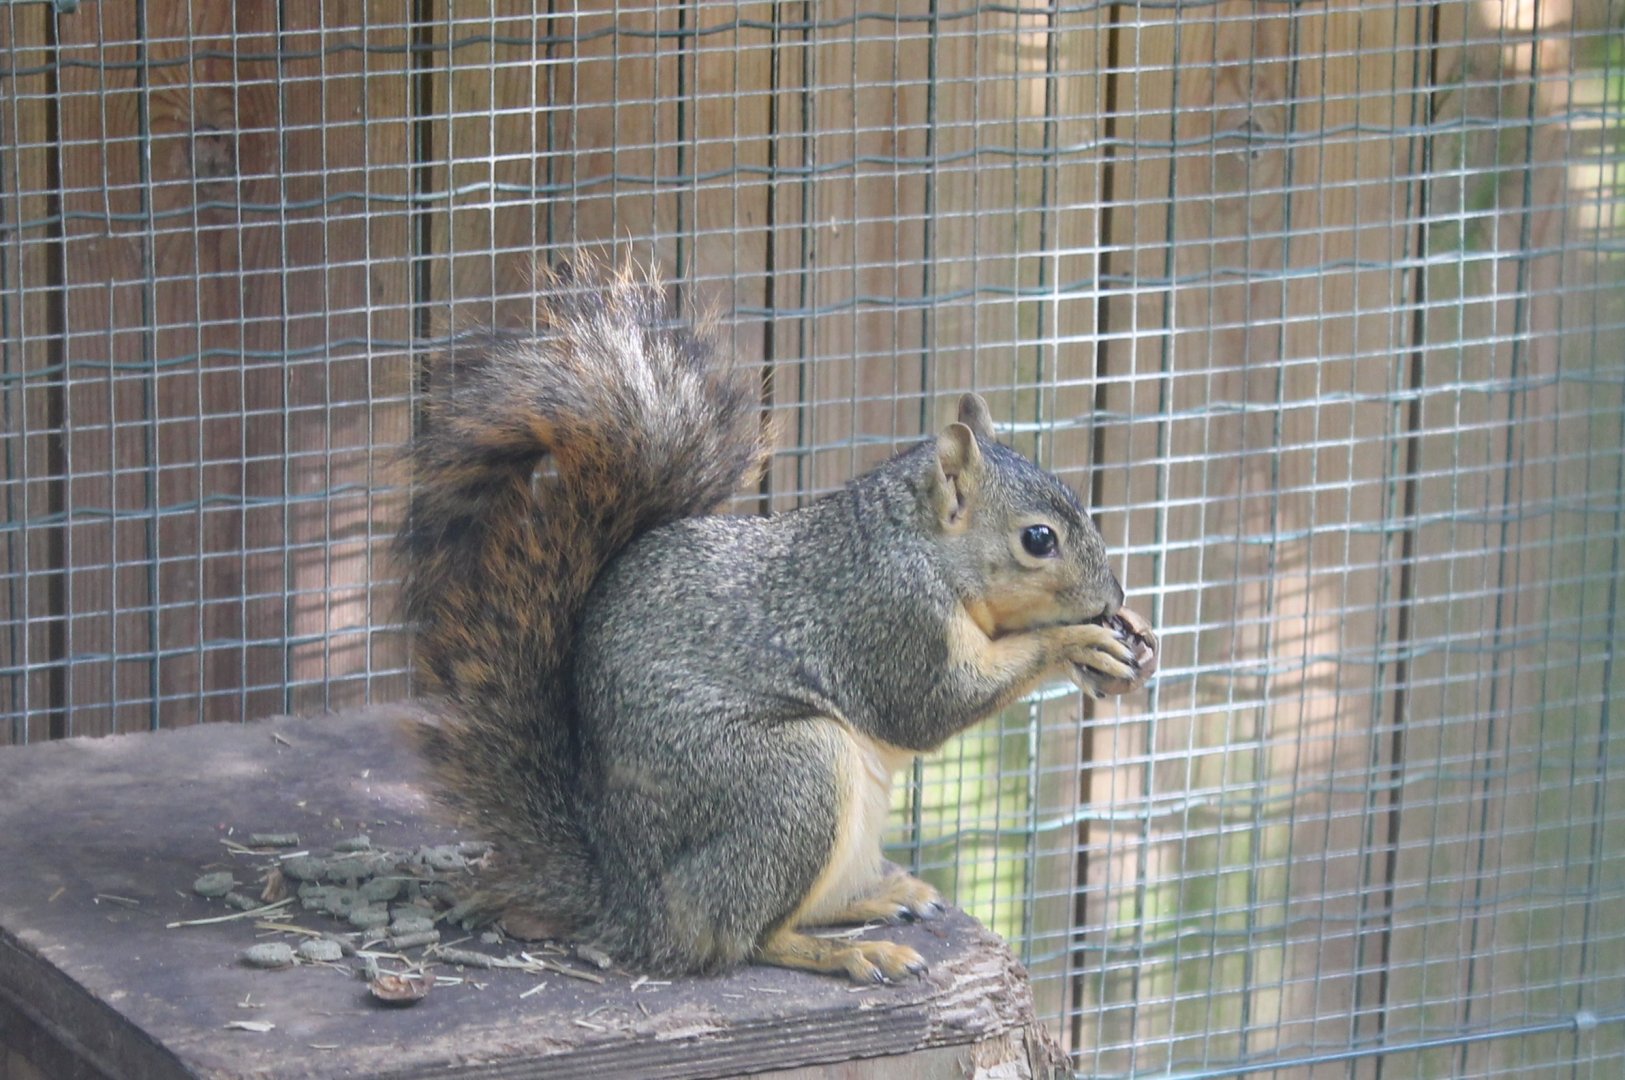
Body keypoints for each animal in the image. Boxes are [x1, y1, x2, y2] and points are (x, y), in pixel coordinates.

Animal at [395, 262, 1154, 984]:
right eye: (1037, 539)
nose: (1111, 594)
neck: (918, 543)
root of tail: (631, 903)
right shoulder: (888, 618)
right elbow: (930, 707)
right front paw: (1075, 639)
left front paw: (1130, 636)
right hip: (790, 781)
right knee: (740, 937)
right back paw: (849, 953)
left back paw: (875, 897)